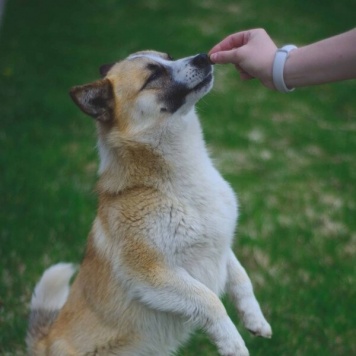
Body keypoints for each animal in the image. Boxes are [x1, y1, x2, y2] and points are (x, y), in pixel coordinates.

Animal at [26, 50, 272, 356]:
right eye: (153, 75)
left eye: (169, 57)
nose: (204, 57)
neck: (173, 185)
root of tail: (44, 342)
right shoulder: (150, 274)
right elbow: (209, 300)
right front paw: (233, 344)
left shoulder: (220, 245)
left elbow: (241, 279)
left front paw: (255, 320)